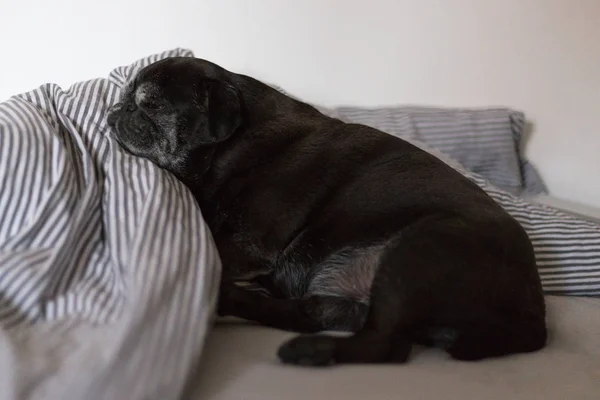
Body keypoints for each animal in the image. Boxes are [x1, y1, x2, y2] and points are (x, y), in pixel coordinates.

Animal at [105, 56, 548, 366]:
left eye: (149, 105)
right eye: (127, 101)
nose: (114, 111)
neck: (234, 144)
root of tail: (533, 318)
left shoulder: (246, 244)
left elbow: (216, 247)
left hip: (418, 248)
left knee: (385, 345)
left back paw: (301, 347)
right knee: (315, 314)